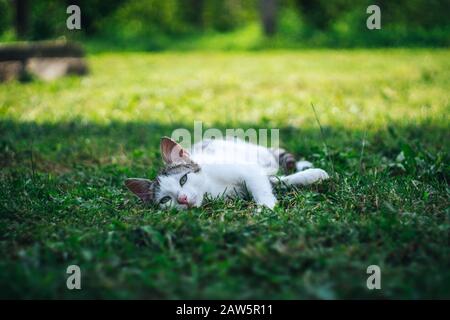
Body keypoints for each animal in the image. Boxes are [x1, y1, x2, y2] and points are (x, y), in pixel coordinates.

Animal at [125, 137, 328, 210]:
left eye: (183, 179)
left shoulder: (246, 168)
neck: (210, 186)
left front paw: (265, 207)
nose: (182, 199)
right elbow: (272, 182)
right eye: (165, 199)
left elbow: (262, 184)